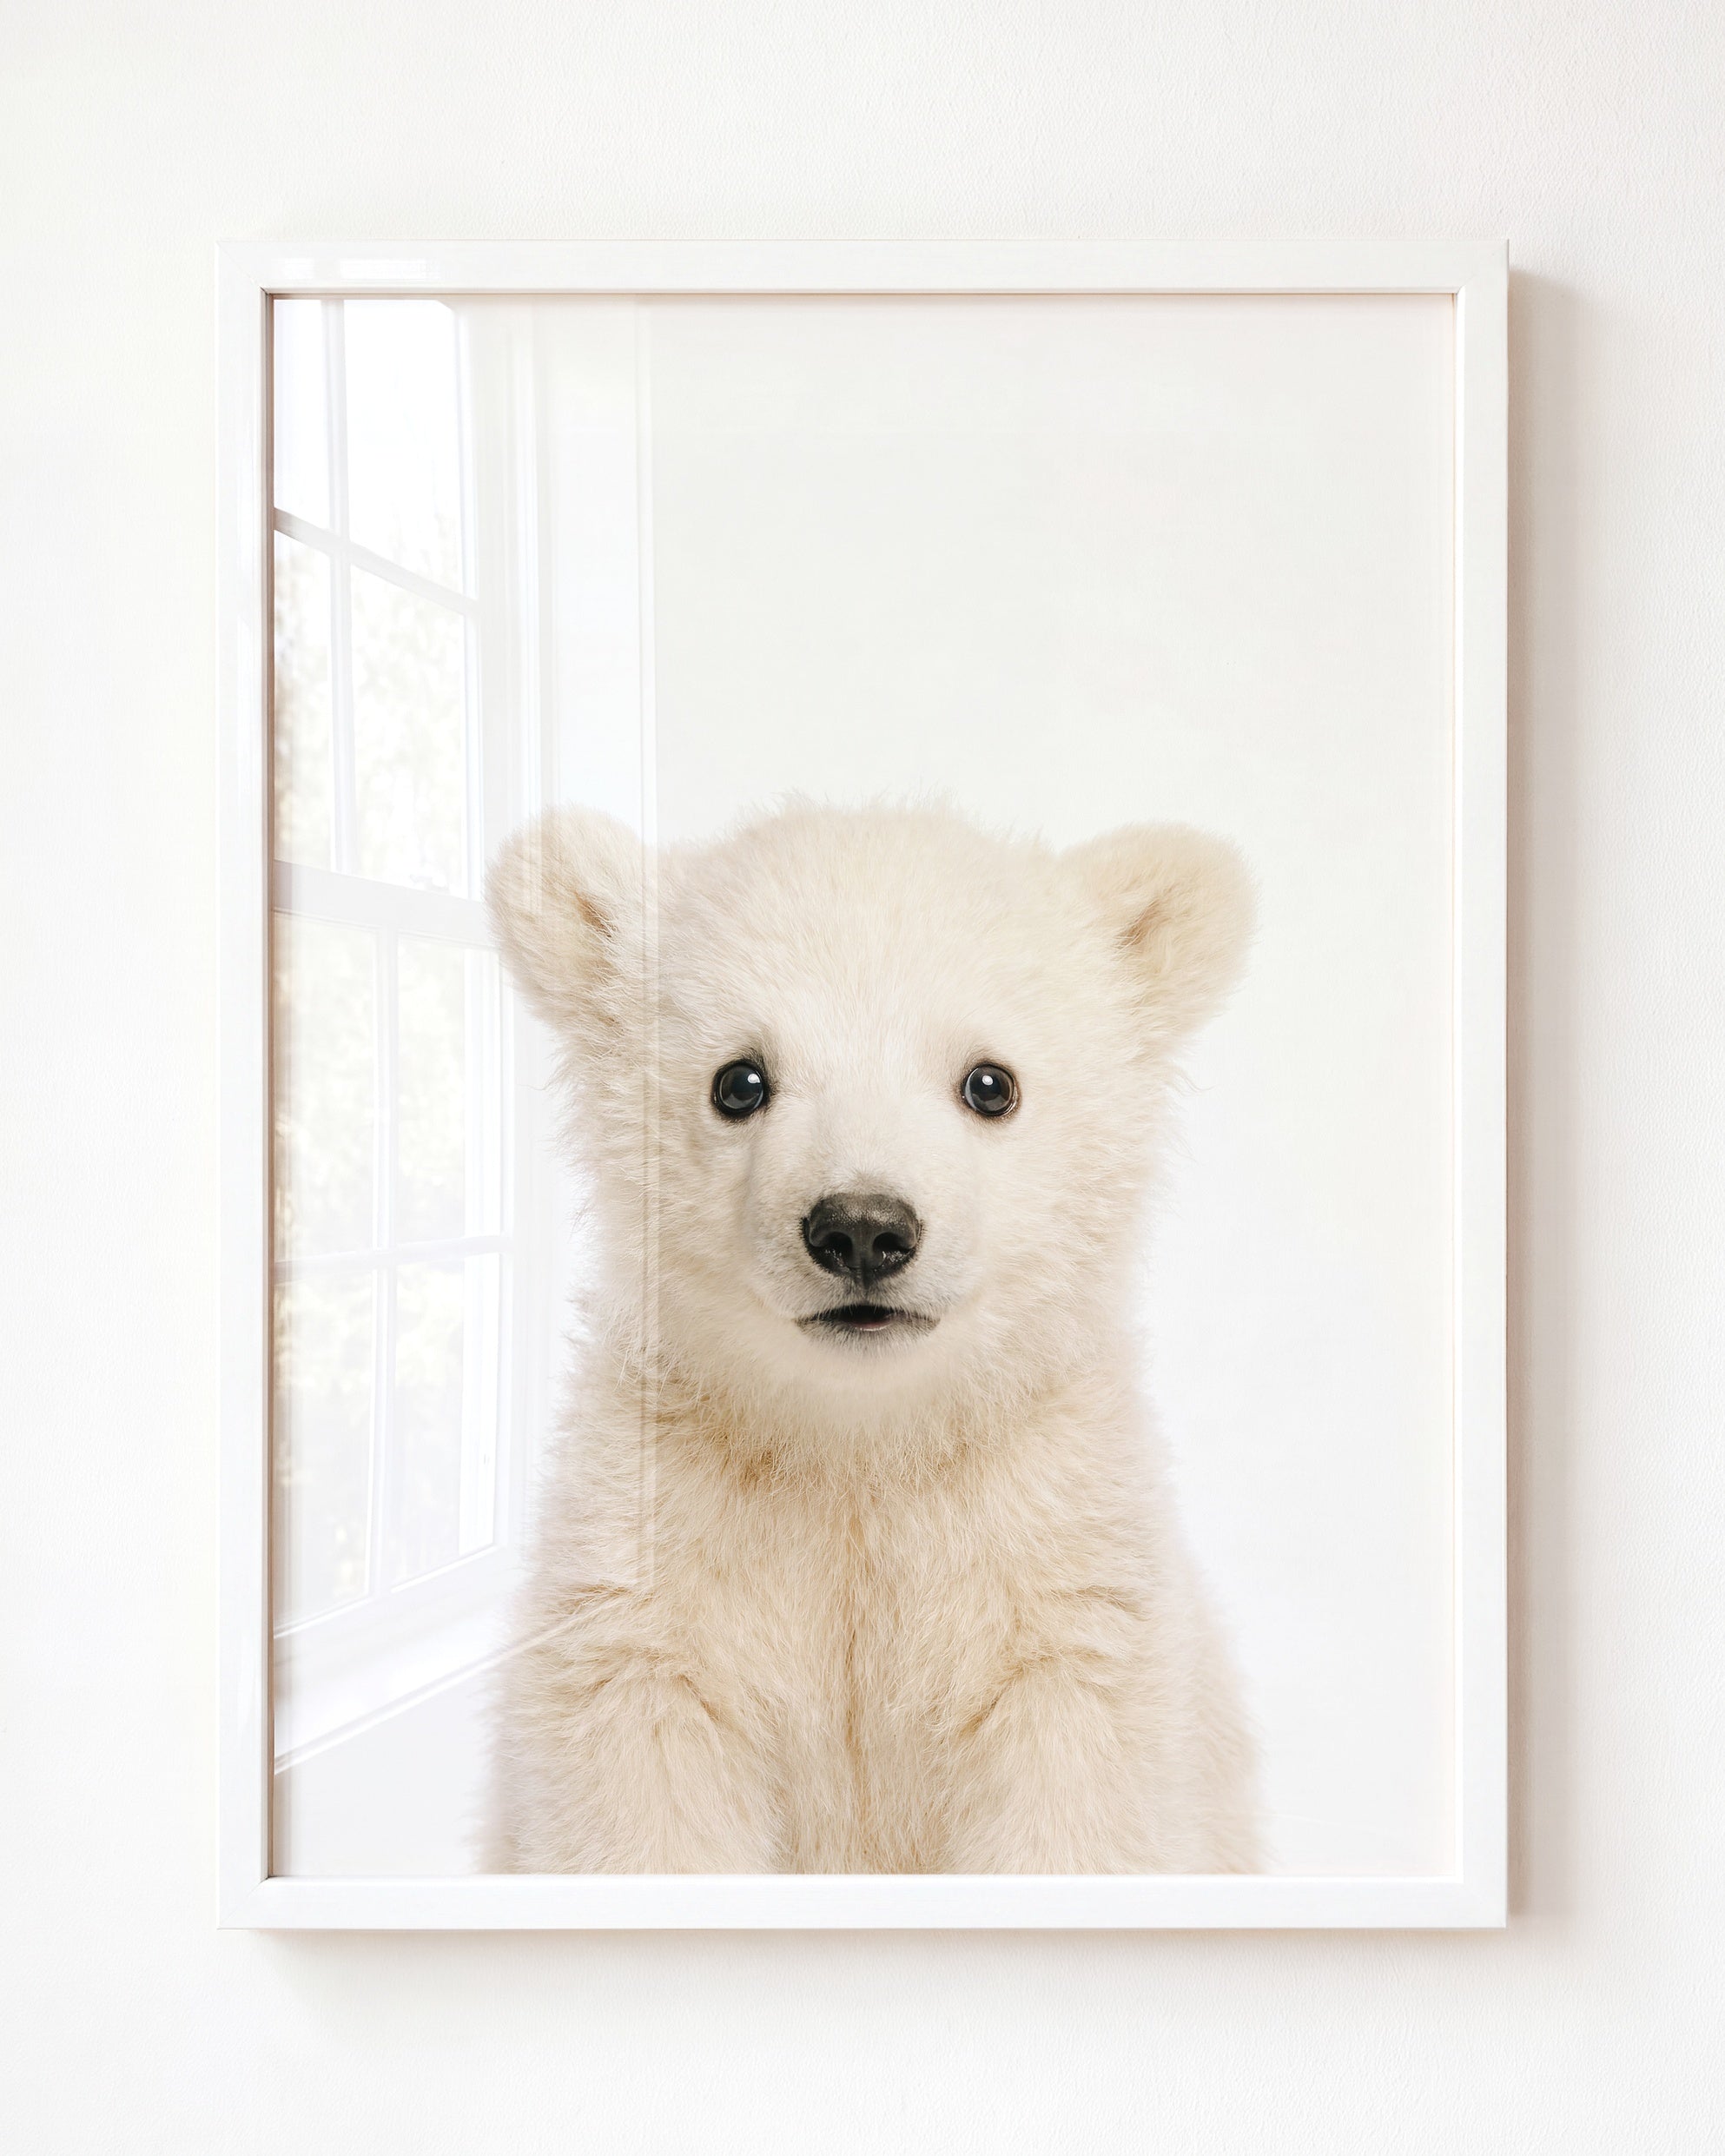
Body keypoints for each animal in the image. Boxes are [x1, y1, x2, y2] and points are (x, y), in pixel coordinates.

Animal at [484, 798, 1259, 1874]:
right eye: (739, 1080)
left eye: (990, 1082)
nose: (861, 1227)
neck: (861, 1444)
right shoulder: (653, 1567)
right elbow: (642, 1793)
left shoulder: (1058, 1581)